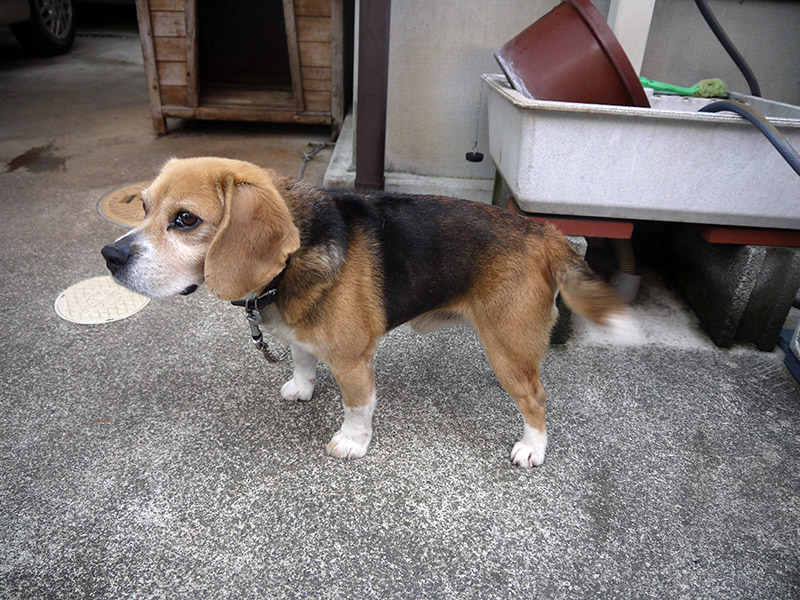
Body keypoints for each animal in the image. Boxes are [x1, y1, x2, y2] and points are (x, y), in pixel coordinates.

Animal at [100, 157, 628, 466]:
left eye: (185, 219)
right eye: (142, 207)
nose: (110, 255)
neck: (288, 264)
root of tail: (546, 233)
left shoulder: (353, 360)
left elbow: (357, 405)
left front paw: (352, 441)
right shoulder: (303, 334)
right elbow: (302, 359)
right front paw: (302, 387)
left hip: (508, 345)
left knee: (535, 398)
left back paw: (532, 447)